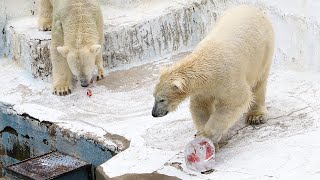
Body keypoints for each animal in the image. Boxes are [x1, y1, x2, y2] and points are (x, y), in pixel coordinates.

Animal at [152, 5, 276, 143]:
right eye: (153, 96)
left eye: (161, 99)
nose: (154, 113)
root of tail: (251, 8)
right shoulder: (203, 89)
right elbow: (201, 106)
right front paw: (201, 132)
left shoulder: (228, 77)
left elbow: (235, 100)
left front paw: (208, 135)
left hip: (262, 53)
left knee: (259, 83)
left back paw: (255, 116)